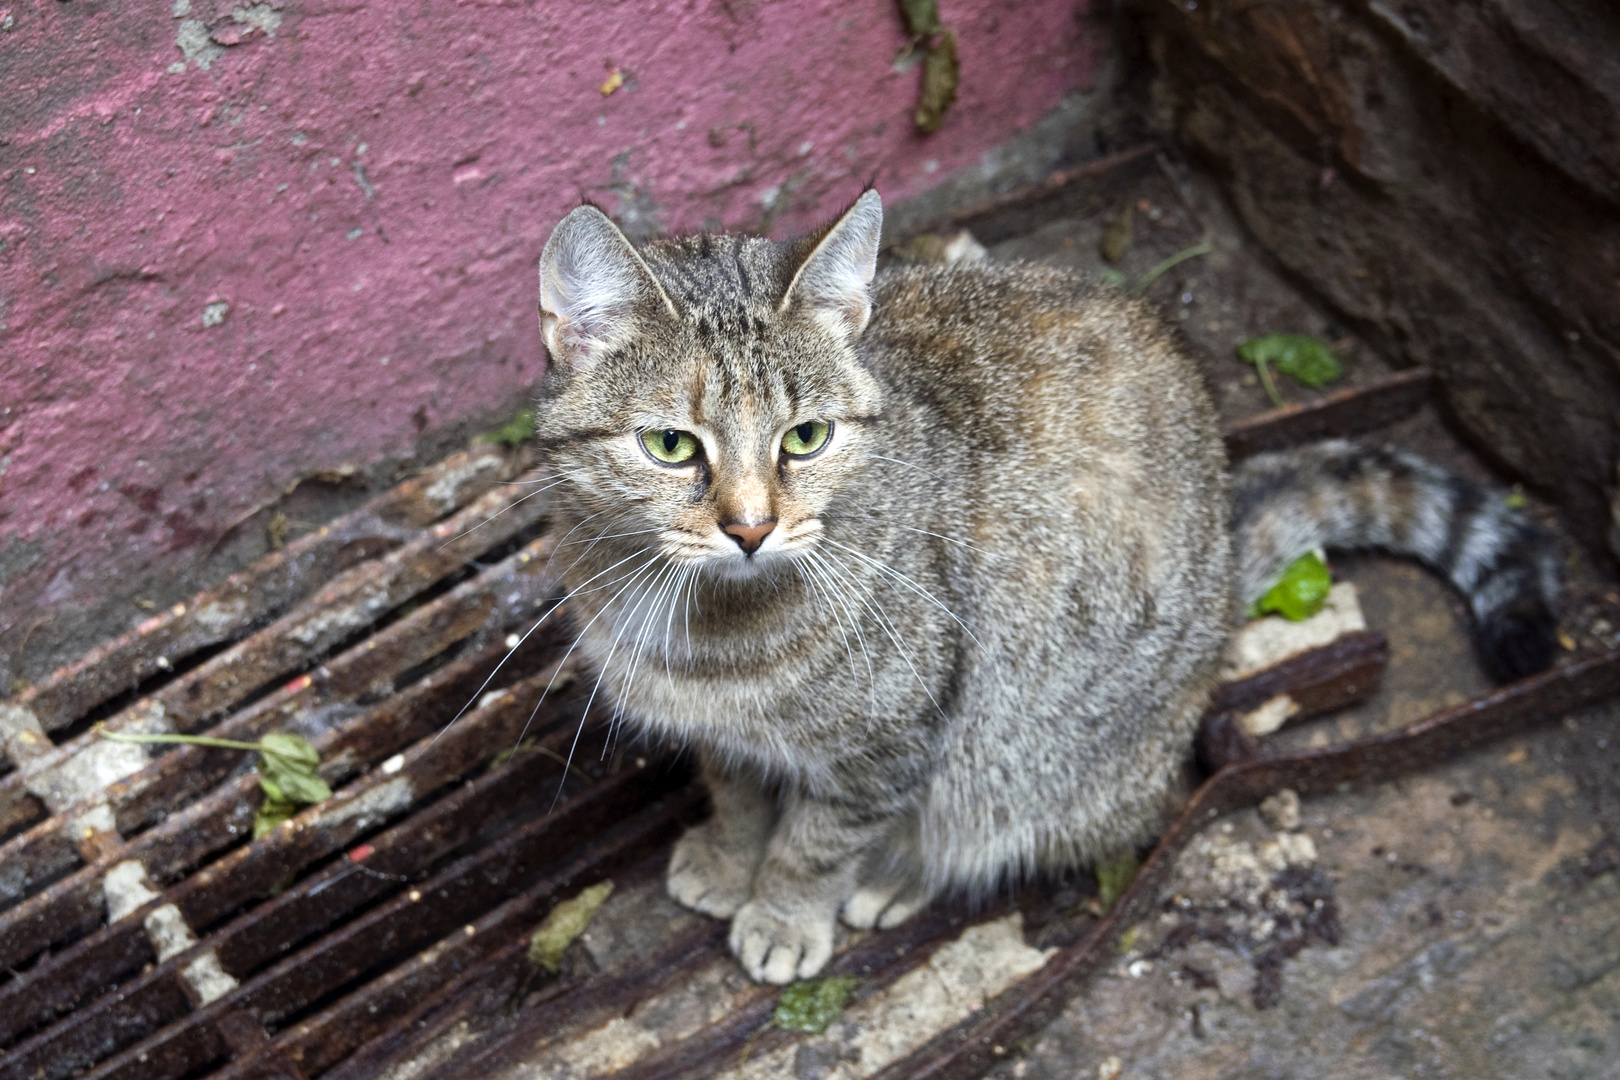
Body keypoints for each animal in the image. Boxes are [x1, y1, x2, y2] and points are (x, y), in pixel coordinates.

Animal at [531, 190, 1555, 984]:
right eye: (671, 446)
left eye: (806, 438)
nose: (750, 527)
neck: (704, 627)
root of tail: (1226, 565)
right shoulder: (727, 737)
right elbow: (740, 794)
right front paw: (731, 855)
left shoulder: (894, 739)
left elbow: (819, 839)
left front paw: (784, 910)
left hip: (1022, 750)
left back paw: (898, 876)